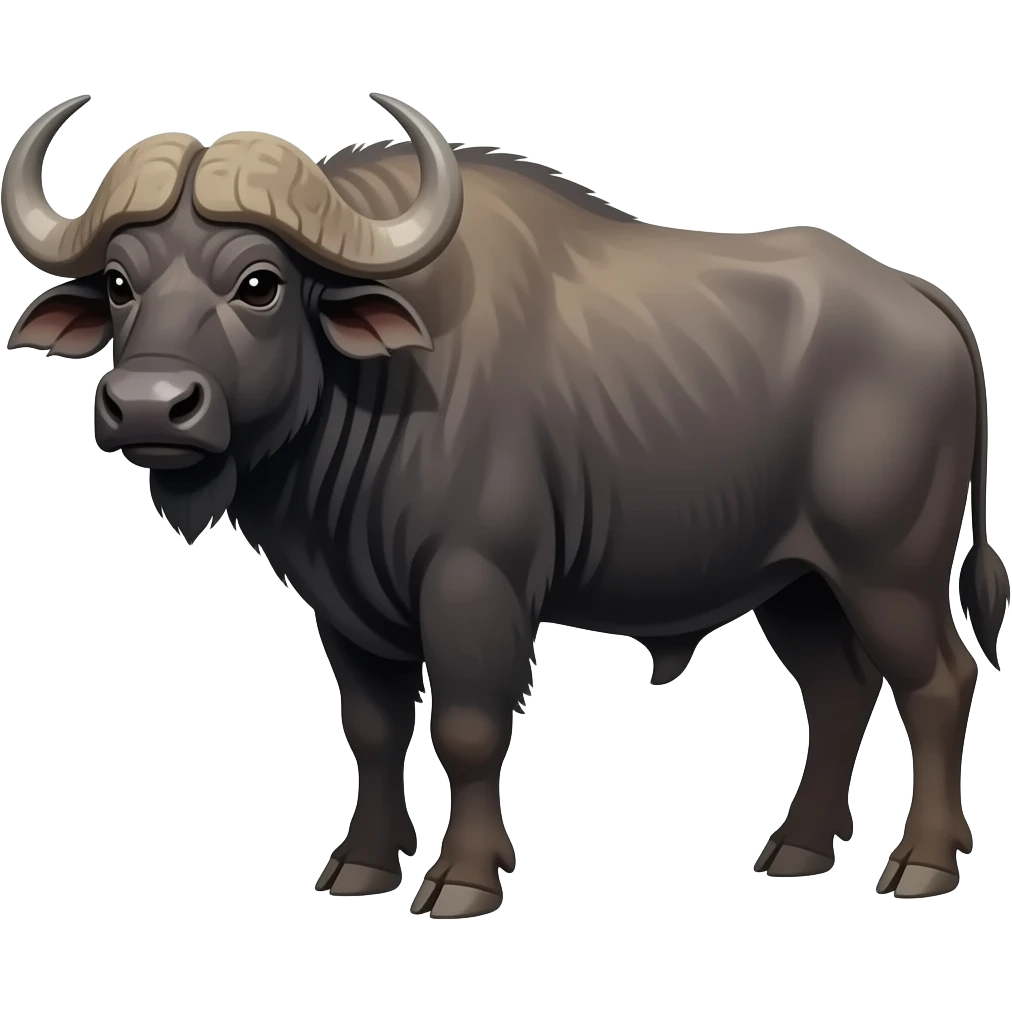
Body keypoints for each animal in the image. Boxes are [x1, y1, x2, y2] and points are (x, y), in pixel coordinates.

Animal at [3, 92, 1007, 917]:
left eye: (260, 281)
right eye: (122, 283)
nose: (147, 406)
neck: (384, 386)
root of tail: (923, 299)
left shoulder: (474, 585)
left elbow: (469, 727)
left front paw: (463, 880)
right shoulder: (344, 609)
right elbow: (373, 730)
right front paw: (362, 867)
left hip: (890, 572)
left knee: (937, 681)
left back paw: (921, 865)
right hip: (796, 582)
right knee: (839, 690)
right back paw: (797, 850)